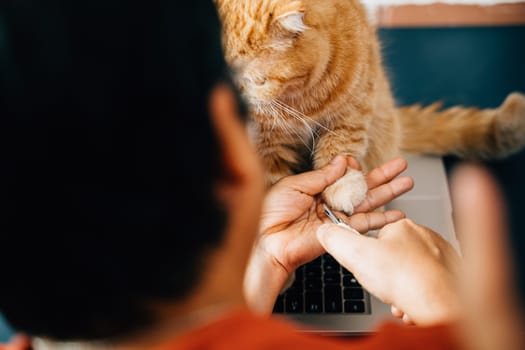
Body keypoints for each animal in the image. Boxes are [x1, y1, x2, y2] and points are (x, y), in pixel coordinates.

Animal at [214, 0, 524, 213]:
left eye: (255, 80)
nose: (234, 101)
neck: (298, 99)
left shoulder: (355, 106)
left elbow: (339, 149)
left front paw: (342, 186)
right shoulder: (266, 146)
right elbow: (273, 181)